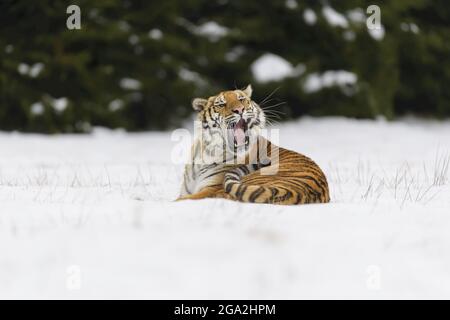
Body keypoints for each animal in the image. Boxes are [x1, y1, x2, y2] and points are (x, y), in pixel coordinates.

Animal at [177, 85, 330, 205]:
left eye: (241, 99)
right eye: (221, 104)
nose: (240, 110)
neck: (207, 150)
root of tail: (297, 192)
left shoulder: (210, 188)